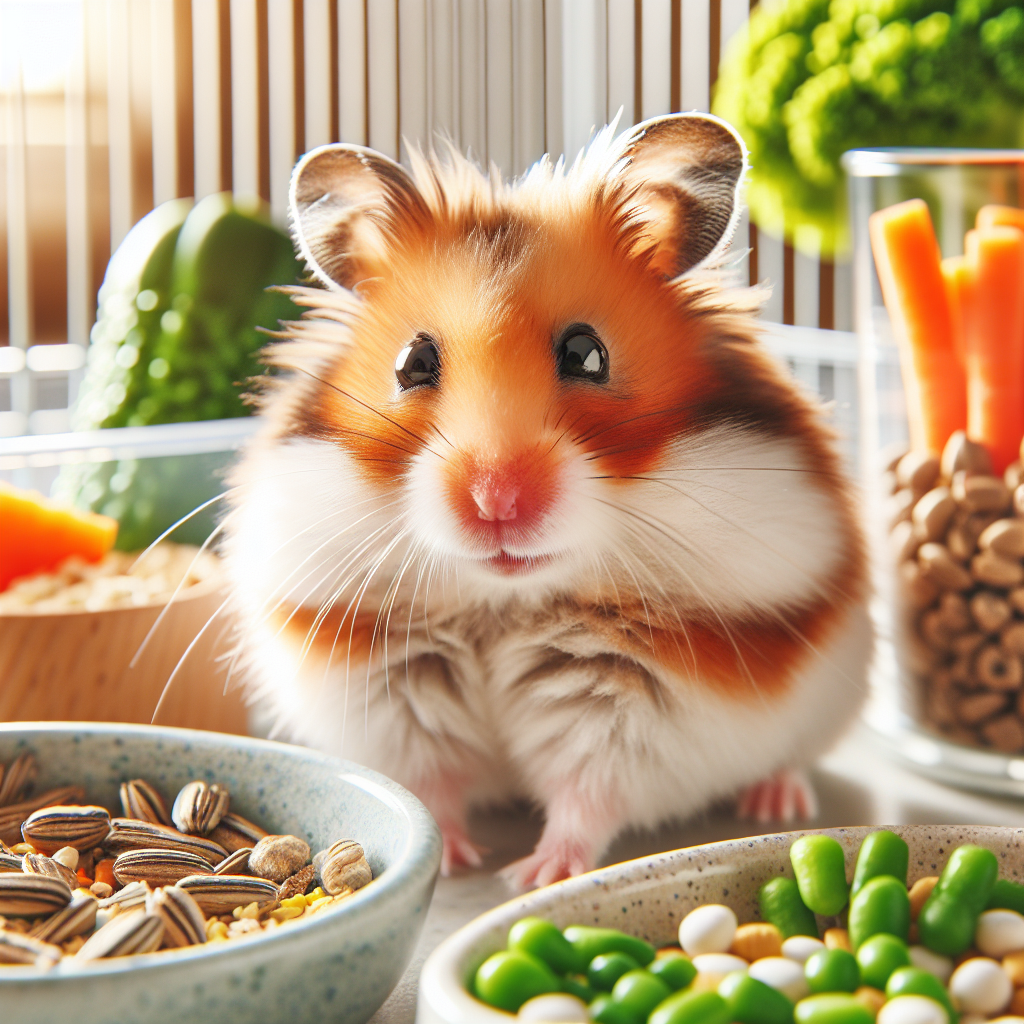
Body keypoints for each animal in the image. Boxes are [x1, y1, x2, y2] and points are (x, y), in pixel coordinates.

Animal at [221, 112, 870, 889]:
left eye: (587, 354)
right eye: (413, 363)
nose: (495, 501)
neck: (504, 604)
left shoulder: (633, 711)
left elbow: (586, 796)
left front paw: (533, 876)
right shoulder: (390, 695)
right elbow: (433, 784)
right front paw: (456, 859)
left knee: (791, 758)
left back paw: (776, 800)